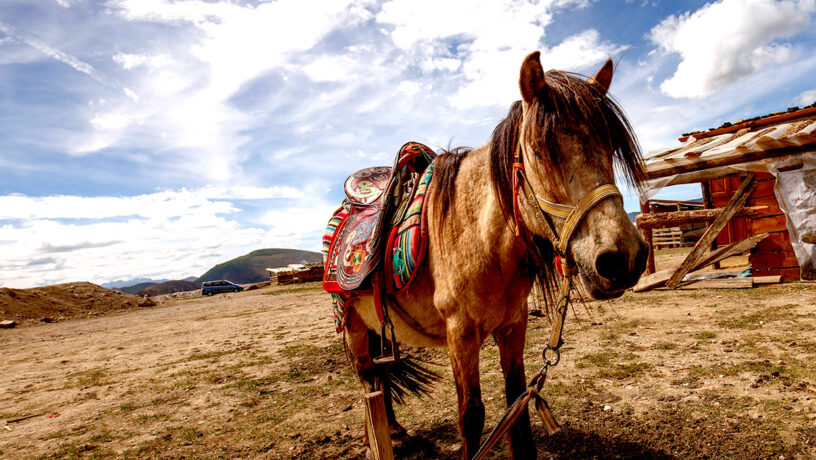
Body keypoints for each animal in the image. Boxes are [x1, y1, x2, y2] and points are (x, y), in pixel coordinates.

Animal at [336, 52, 644, 458]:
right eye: (541, 150)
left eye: (609, 148)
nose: (623, 258)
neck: (480, 242)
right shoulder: (461, 334)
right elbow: (471, 414)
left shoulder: (513, 325)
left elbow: (517, 407)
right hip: (354, 324)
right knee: (367, 377)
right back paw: (378, 435)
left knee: (380, 376)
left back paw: (396, 431)